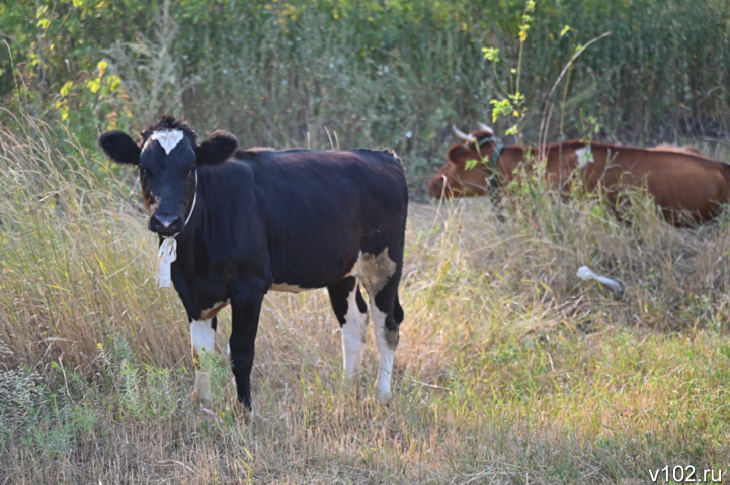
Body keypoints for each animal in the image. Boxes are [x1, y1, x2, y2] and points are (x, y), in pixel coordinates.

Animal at [97, 116, 406, 420]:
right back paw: (346, 389)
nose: (166, 220)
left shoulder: (248, 288)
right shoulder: (191, 292)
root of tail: (382, 155)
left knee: (387, 327)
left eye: (190, 169)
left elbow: (241, 353)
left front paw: (245, 413)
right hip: (342, 270)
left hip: (384, 265)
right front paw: (202, 407)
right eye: (144, 169)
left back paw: (381, 396)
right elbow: (200, 354)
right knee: (353, 323)